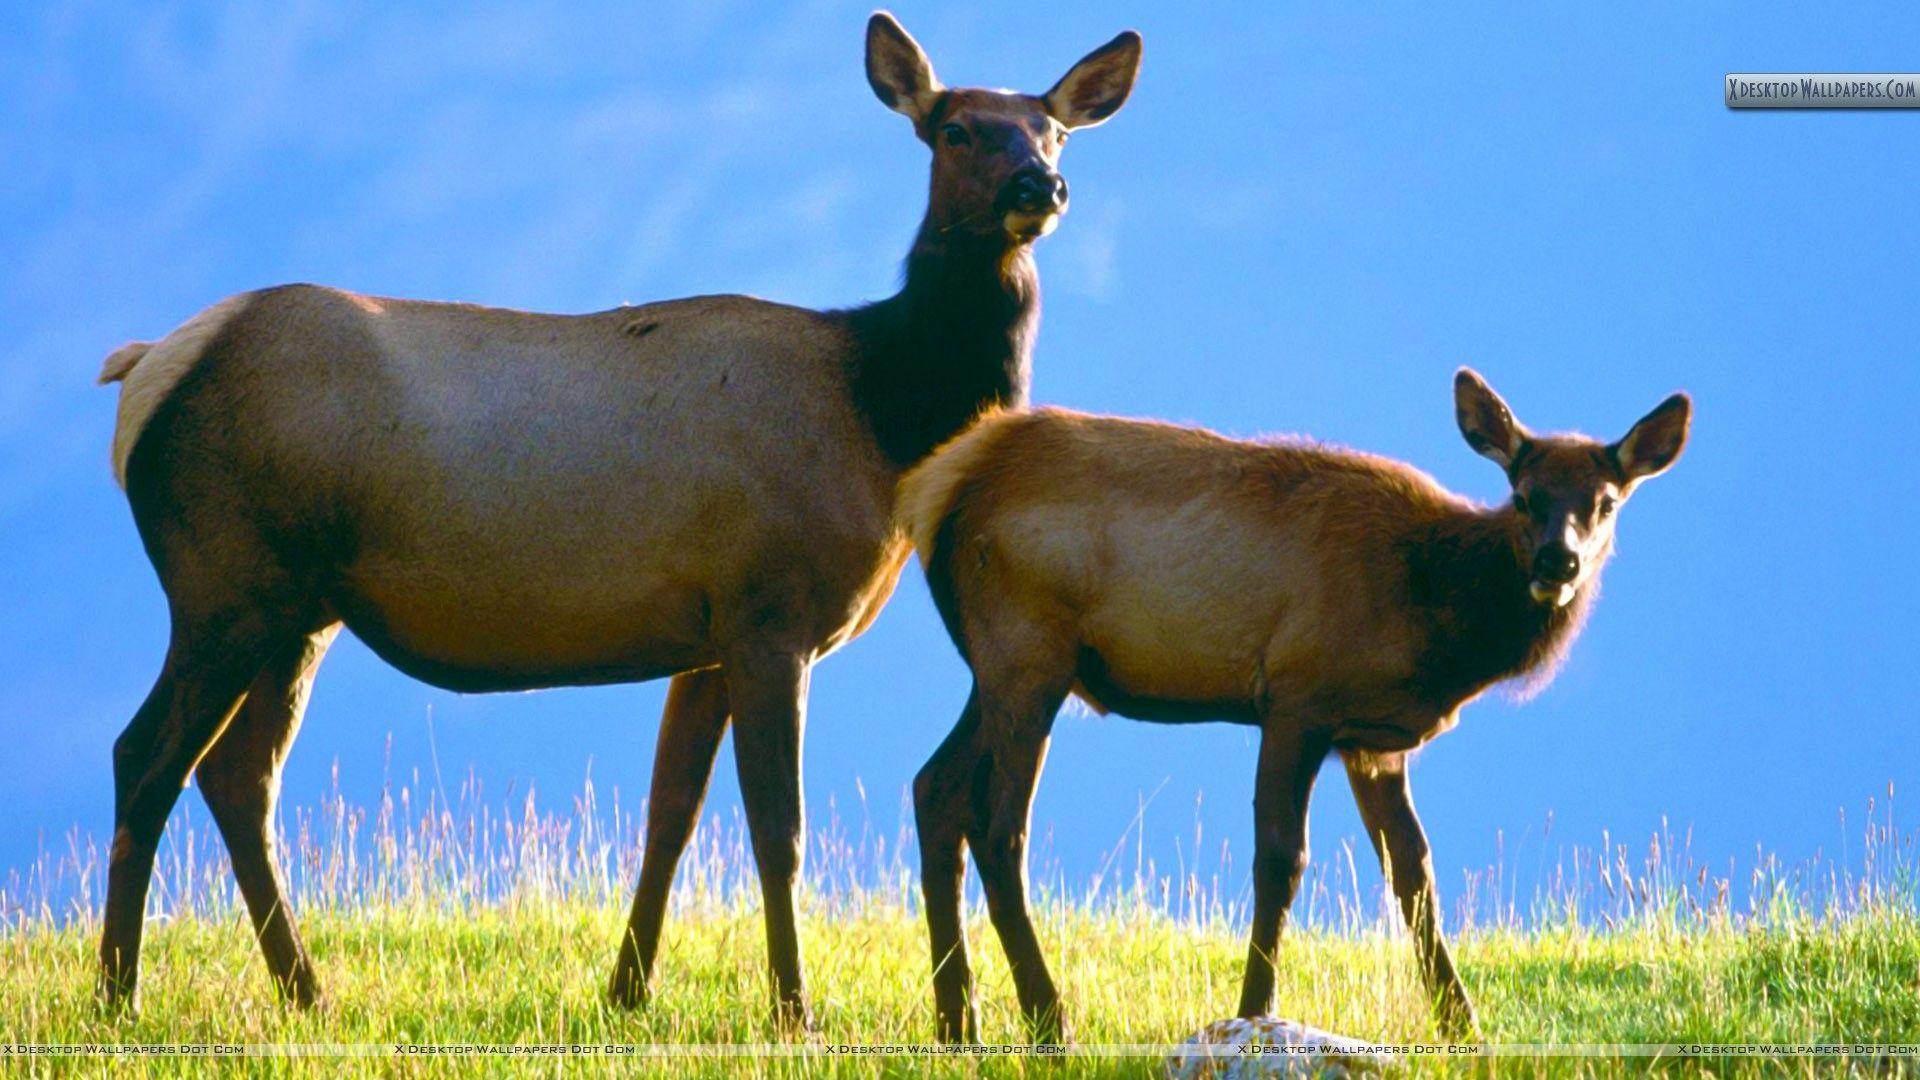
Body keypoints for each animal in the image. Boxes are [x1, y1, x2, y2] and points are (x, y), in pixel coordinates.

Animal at [91, 12, 1141, 1026]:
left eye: (1052, 128)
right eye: (954, 128)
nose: (1041, 185)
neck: (884, 421)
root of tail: (144, 370)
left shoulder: (707, 634)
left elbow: (670, 814)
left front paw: (628, 991)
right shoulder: (771, 607)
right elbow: (779, 829)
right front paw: (793, 1011)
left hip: (298, 608)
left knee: (237, 777)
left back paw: (304, 990)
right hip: (224, 582)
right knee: (146, 756)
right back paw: (118, 994)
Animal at [896, 369, 1691, 1043]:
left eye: (1607, 502)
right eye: (1524, 496)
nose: (1558, 561)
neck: (1431, 616)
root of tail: (938, 489)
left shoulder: (1374, 740)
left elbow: (1414, 873)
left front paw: (1462, 1026)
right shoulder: (1295, 696)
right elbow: (1281, 859)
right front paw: (1253, 1012)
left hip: (999, 668)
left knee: (935, 787)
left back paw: (957, 1022)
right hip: (1030, 650)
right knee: (999, 827)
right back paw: (1047, 1021)